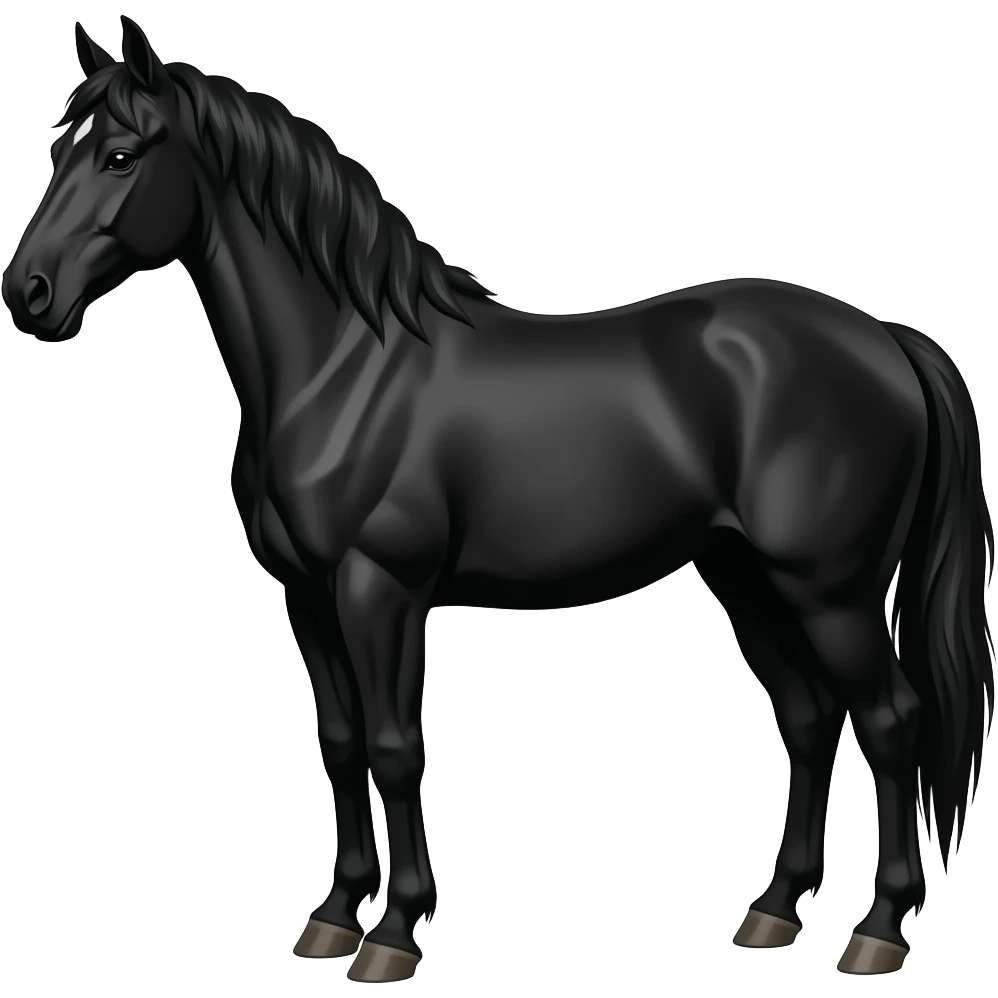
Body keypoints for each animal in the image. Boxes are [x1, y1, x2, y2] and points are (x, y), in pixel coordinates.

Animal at [2, 17, 993, 981]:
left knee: (891, 722)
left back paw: (877, 931)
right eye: (56, 147)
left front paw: (394, 932)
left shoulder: (381, 589)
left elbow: (396, 747)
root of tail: (888, 339)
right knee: (811, 721)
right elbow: (342, 742)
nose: (28, 293)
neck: (343, 366)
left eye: (121, 155)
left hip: (832, 591)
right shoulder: (308, 594)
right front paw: (332, 917)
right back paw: (773, 914)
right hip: (745, 577)